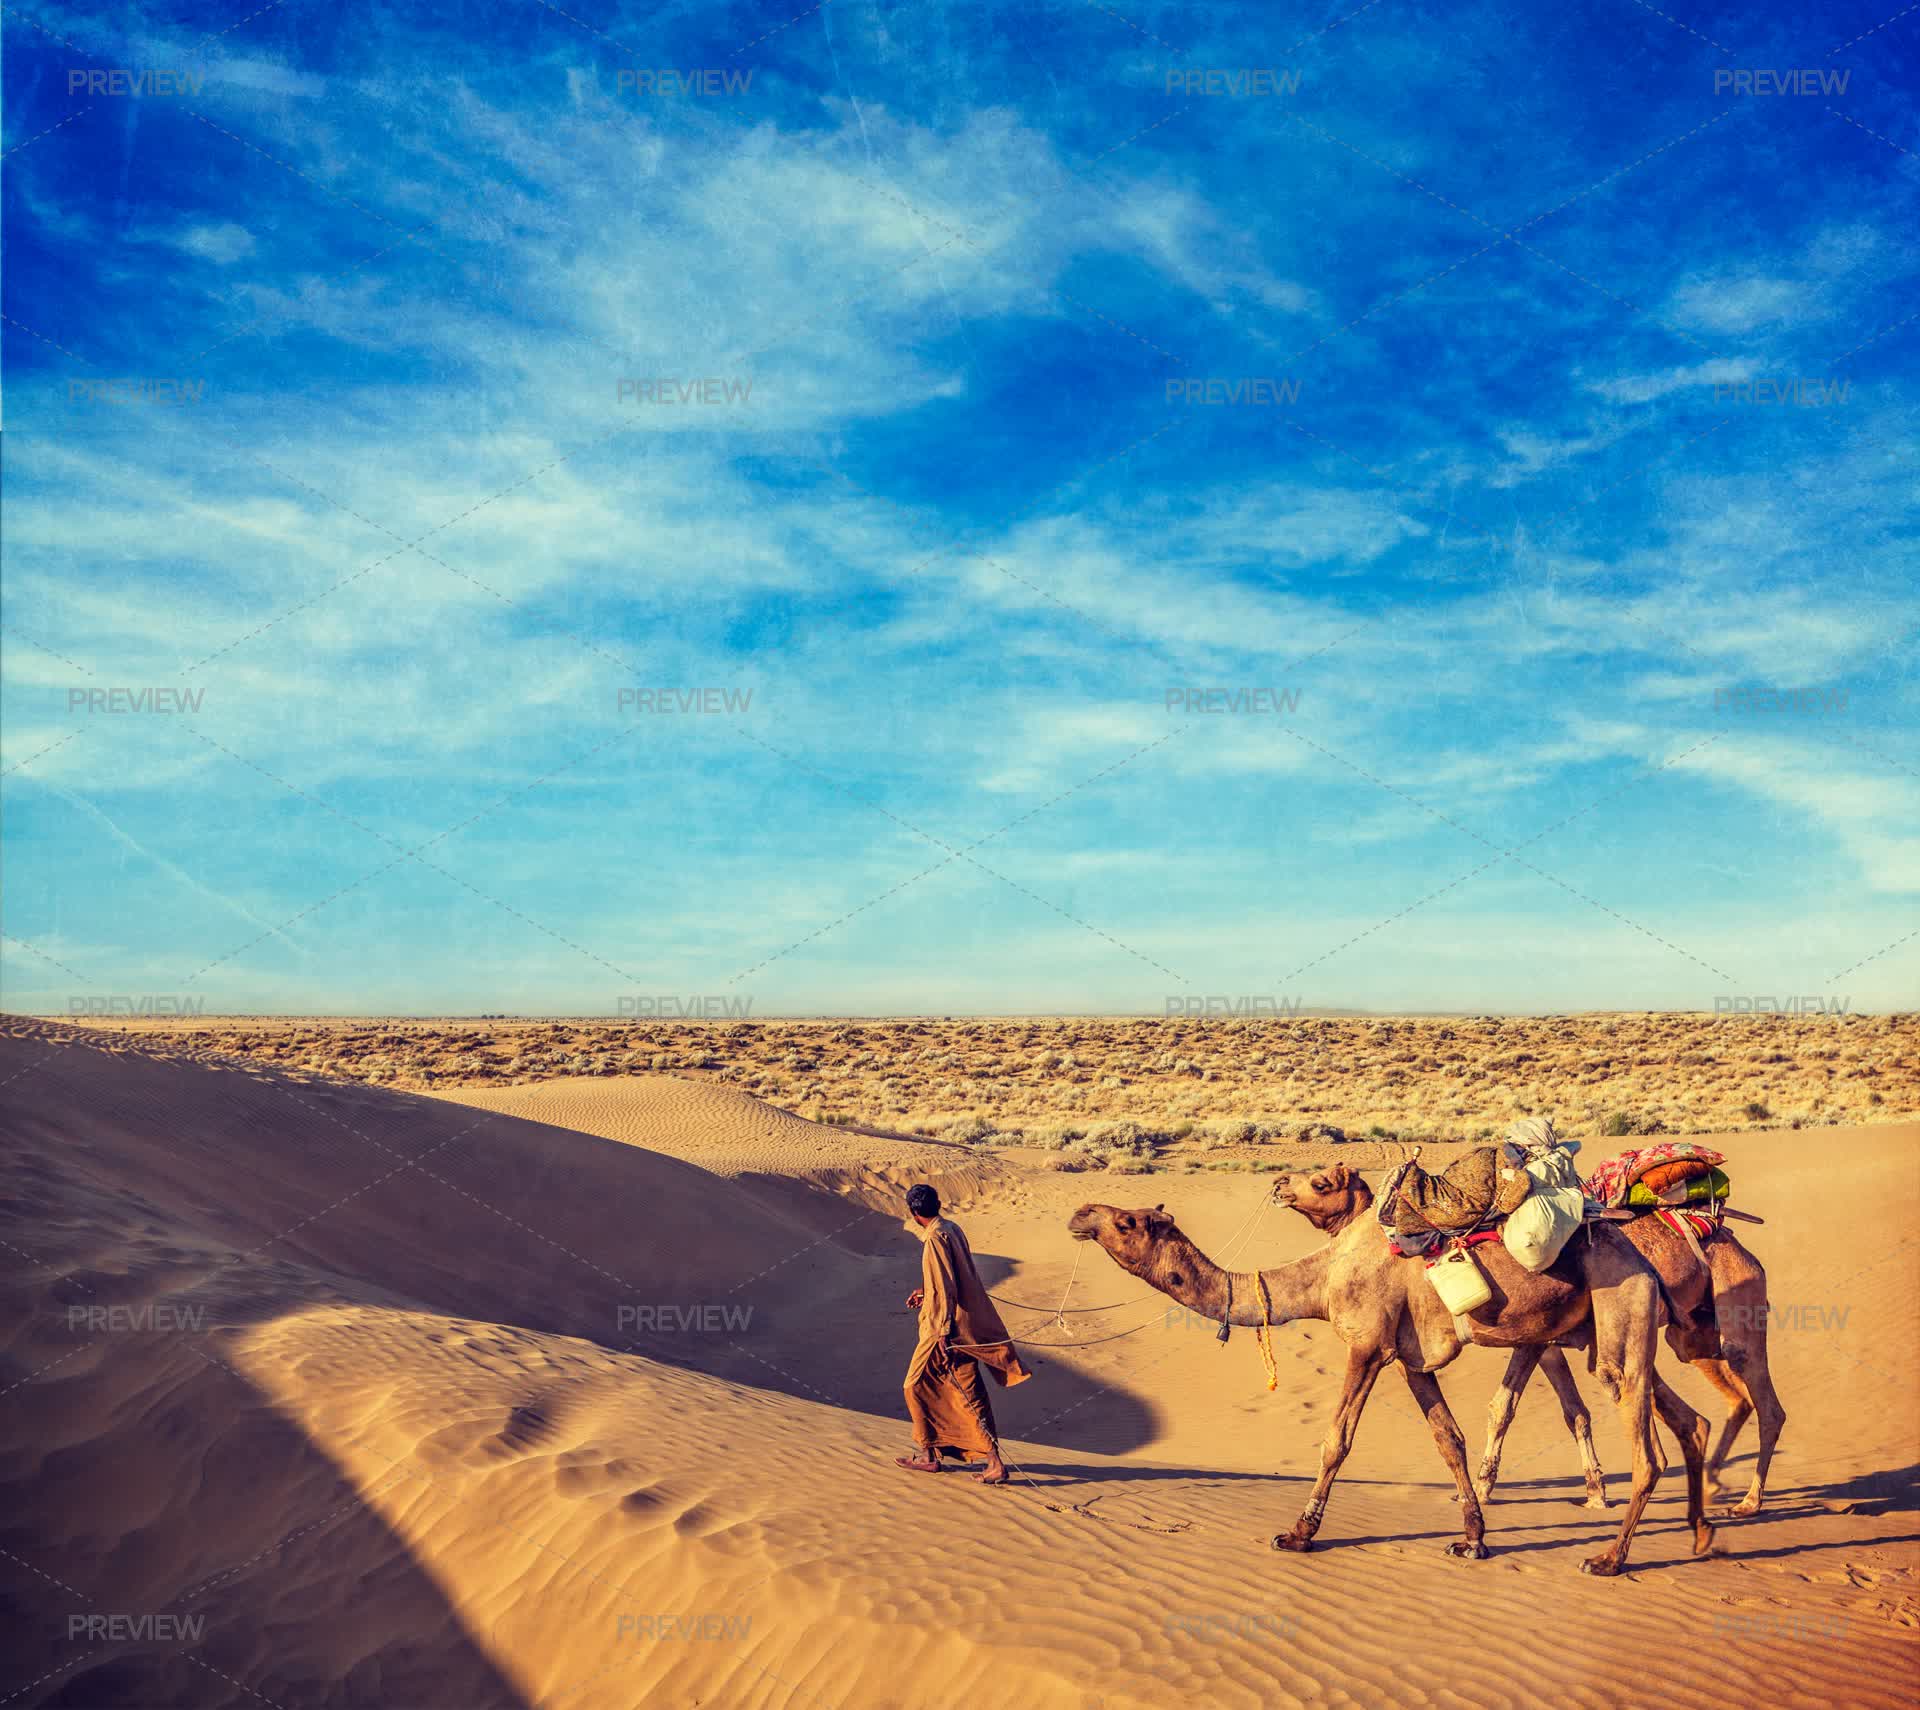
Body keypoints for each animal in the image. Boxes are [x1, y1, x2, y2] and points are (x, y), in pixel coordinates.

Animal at [1068, 1179, 1716, 1574]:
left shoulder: (1367, 1345)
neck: (1322, 1278)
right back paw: (1701, 1535)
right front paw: (1473, 1541)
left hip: (1619, 1315)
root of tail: (1645, 1262)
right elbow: (1449, 1441)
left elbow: (1336, 1440)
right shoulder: (1412, 1361)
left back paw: (1608, 1560)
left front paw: (1299, 1534)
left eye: (1128, 1222)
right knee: (1690, 1421)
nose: (1080, 1213)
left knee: (1648, 1449)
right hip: (1613, 1331)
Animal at [1278, 1164, 1785, 1518]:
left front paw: (1492, 1490)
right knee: (1722, 1400)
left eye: (1321, 1182)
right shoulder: (1544, 1341)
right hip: (1693, 1336)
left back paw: (1748, 1500)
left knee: (1765, 1402)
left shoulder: (1541, 1339)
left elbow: (1524, 1409)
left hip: (1734, 1311)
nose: (1281, 1184)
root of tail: (1732, 1239)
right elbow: (1551, 1410)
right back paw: (1714, 1483)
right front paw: (1589, 1490)